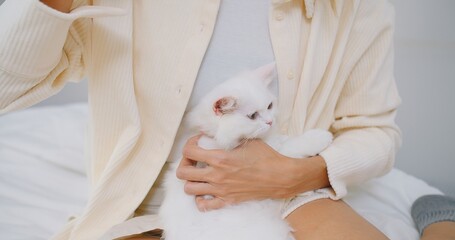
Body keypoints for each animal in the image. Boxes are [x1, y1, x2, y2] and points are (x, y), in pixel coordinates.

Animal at [159, 62, 334, 239]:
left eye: (269, 106)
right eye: (252, 116)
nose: (270, 121)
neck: (216, 135)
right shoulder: (272, 154)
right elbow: (293, 145)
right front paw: (321, 137)